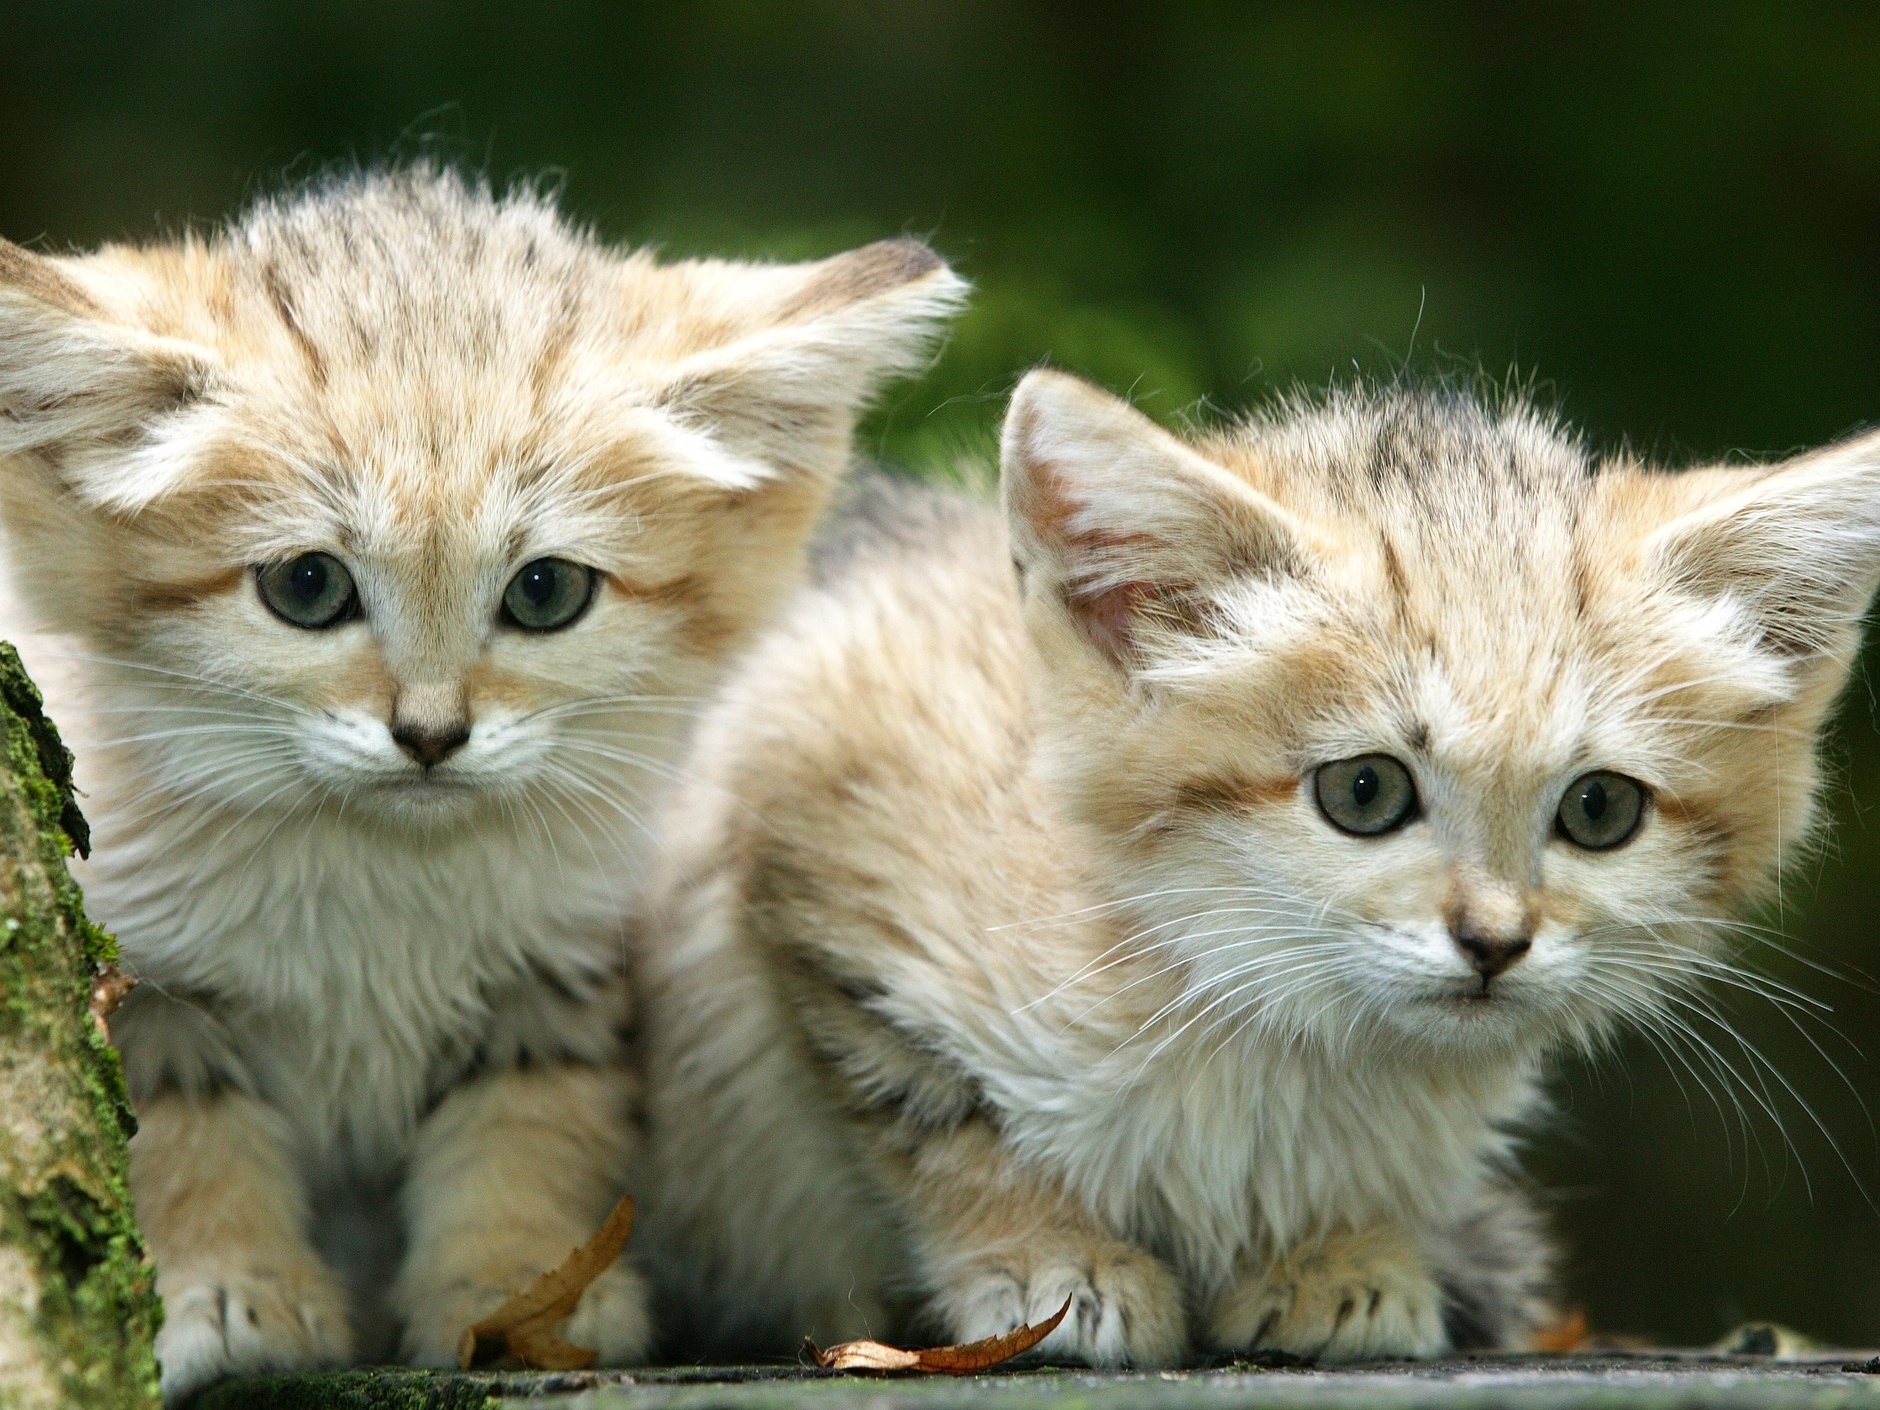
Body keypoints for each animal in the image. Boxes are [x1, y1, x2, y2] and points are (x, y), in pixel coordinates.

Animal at [0, 168, 955, 1406]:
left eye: (544, 593)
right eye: (306, 586)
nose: (430, 735)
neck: (384, 881)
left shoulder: (552, 980)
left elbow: (522, 1140)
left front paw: (511, 1300)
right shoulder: (153, 986)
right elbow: (182, 1139)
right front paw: (227, 1290)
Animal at [639, 370, 1880, 1361]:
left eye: (1598, 809)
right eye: (1363, 792)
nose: (1492, 943)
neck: (1260, 1024)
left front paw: (1341, 1254)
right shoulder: (802, 798)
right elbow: (928, 1107)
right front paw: (1043, 1257)